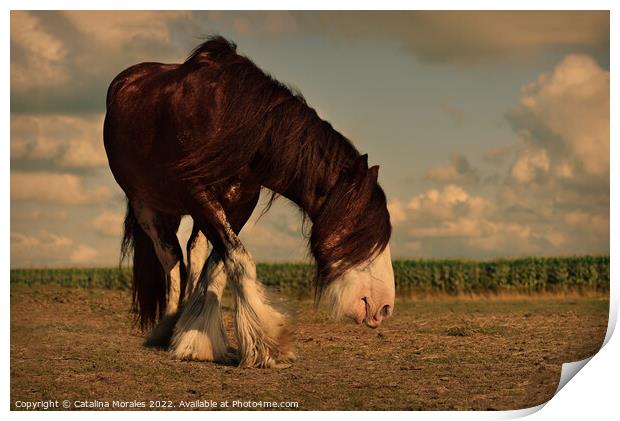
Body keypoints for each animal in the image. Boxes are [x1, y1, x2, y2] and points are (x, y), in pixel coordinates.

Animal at [101, 37, 392, 368]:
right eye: (363, 231)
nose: (384, 306)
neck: (235, 126)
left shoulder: (240, 203)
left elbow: (218, 267)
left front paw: (197, 341)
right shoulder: (196, 193)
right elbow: (239, 260)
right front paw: (270, 342)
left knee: (194, 251)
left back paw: (180, 322)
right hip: (149, 208)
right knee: (170, 258)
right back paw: (168, 325)